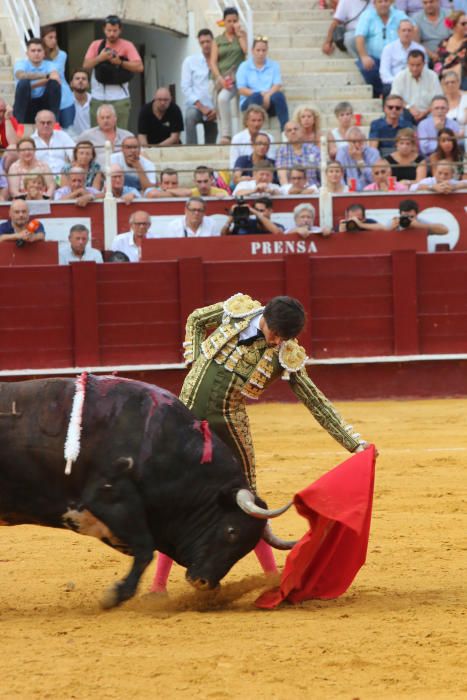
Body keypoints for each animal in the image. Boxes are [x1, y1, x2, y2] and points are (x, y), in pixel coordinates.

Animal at [0, 374, 292, 608]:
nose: (203, 582)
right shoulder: (111, 498)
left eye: (247, 545)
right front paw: (115, 596)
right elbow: (145, 549)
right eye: (232, 532)